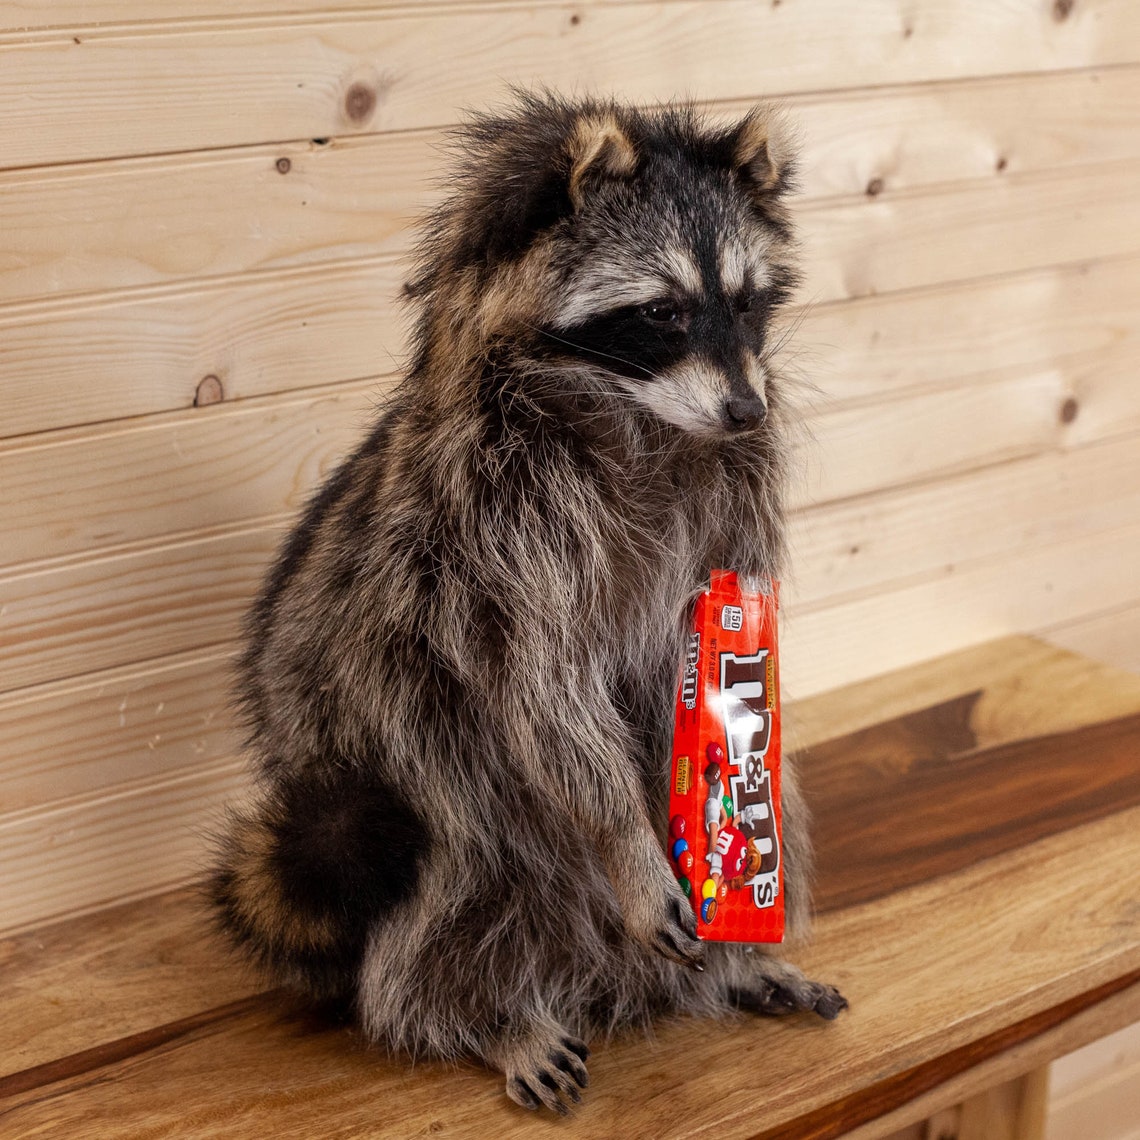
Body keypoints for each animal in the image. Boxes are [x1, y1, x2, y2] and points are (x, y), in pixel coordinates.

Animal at [210, 91, 845, 1115]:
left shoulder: (730, 498)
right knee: (461, 875)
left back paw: (735, 962)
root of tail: (594, 973)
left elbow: (700, 666)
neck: (641, 413)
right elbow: (543, 687)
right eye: (662, 311)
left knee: (777, 788)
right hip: (416, 785)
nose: (747, 410)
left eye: (748, 301)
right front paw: (629, 838)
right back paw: (472, 1012)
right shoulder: (497, 531)